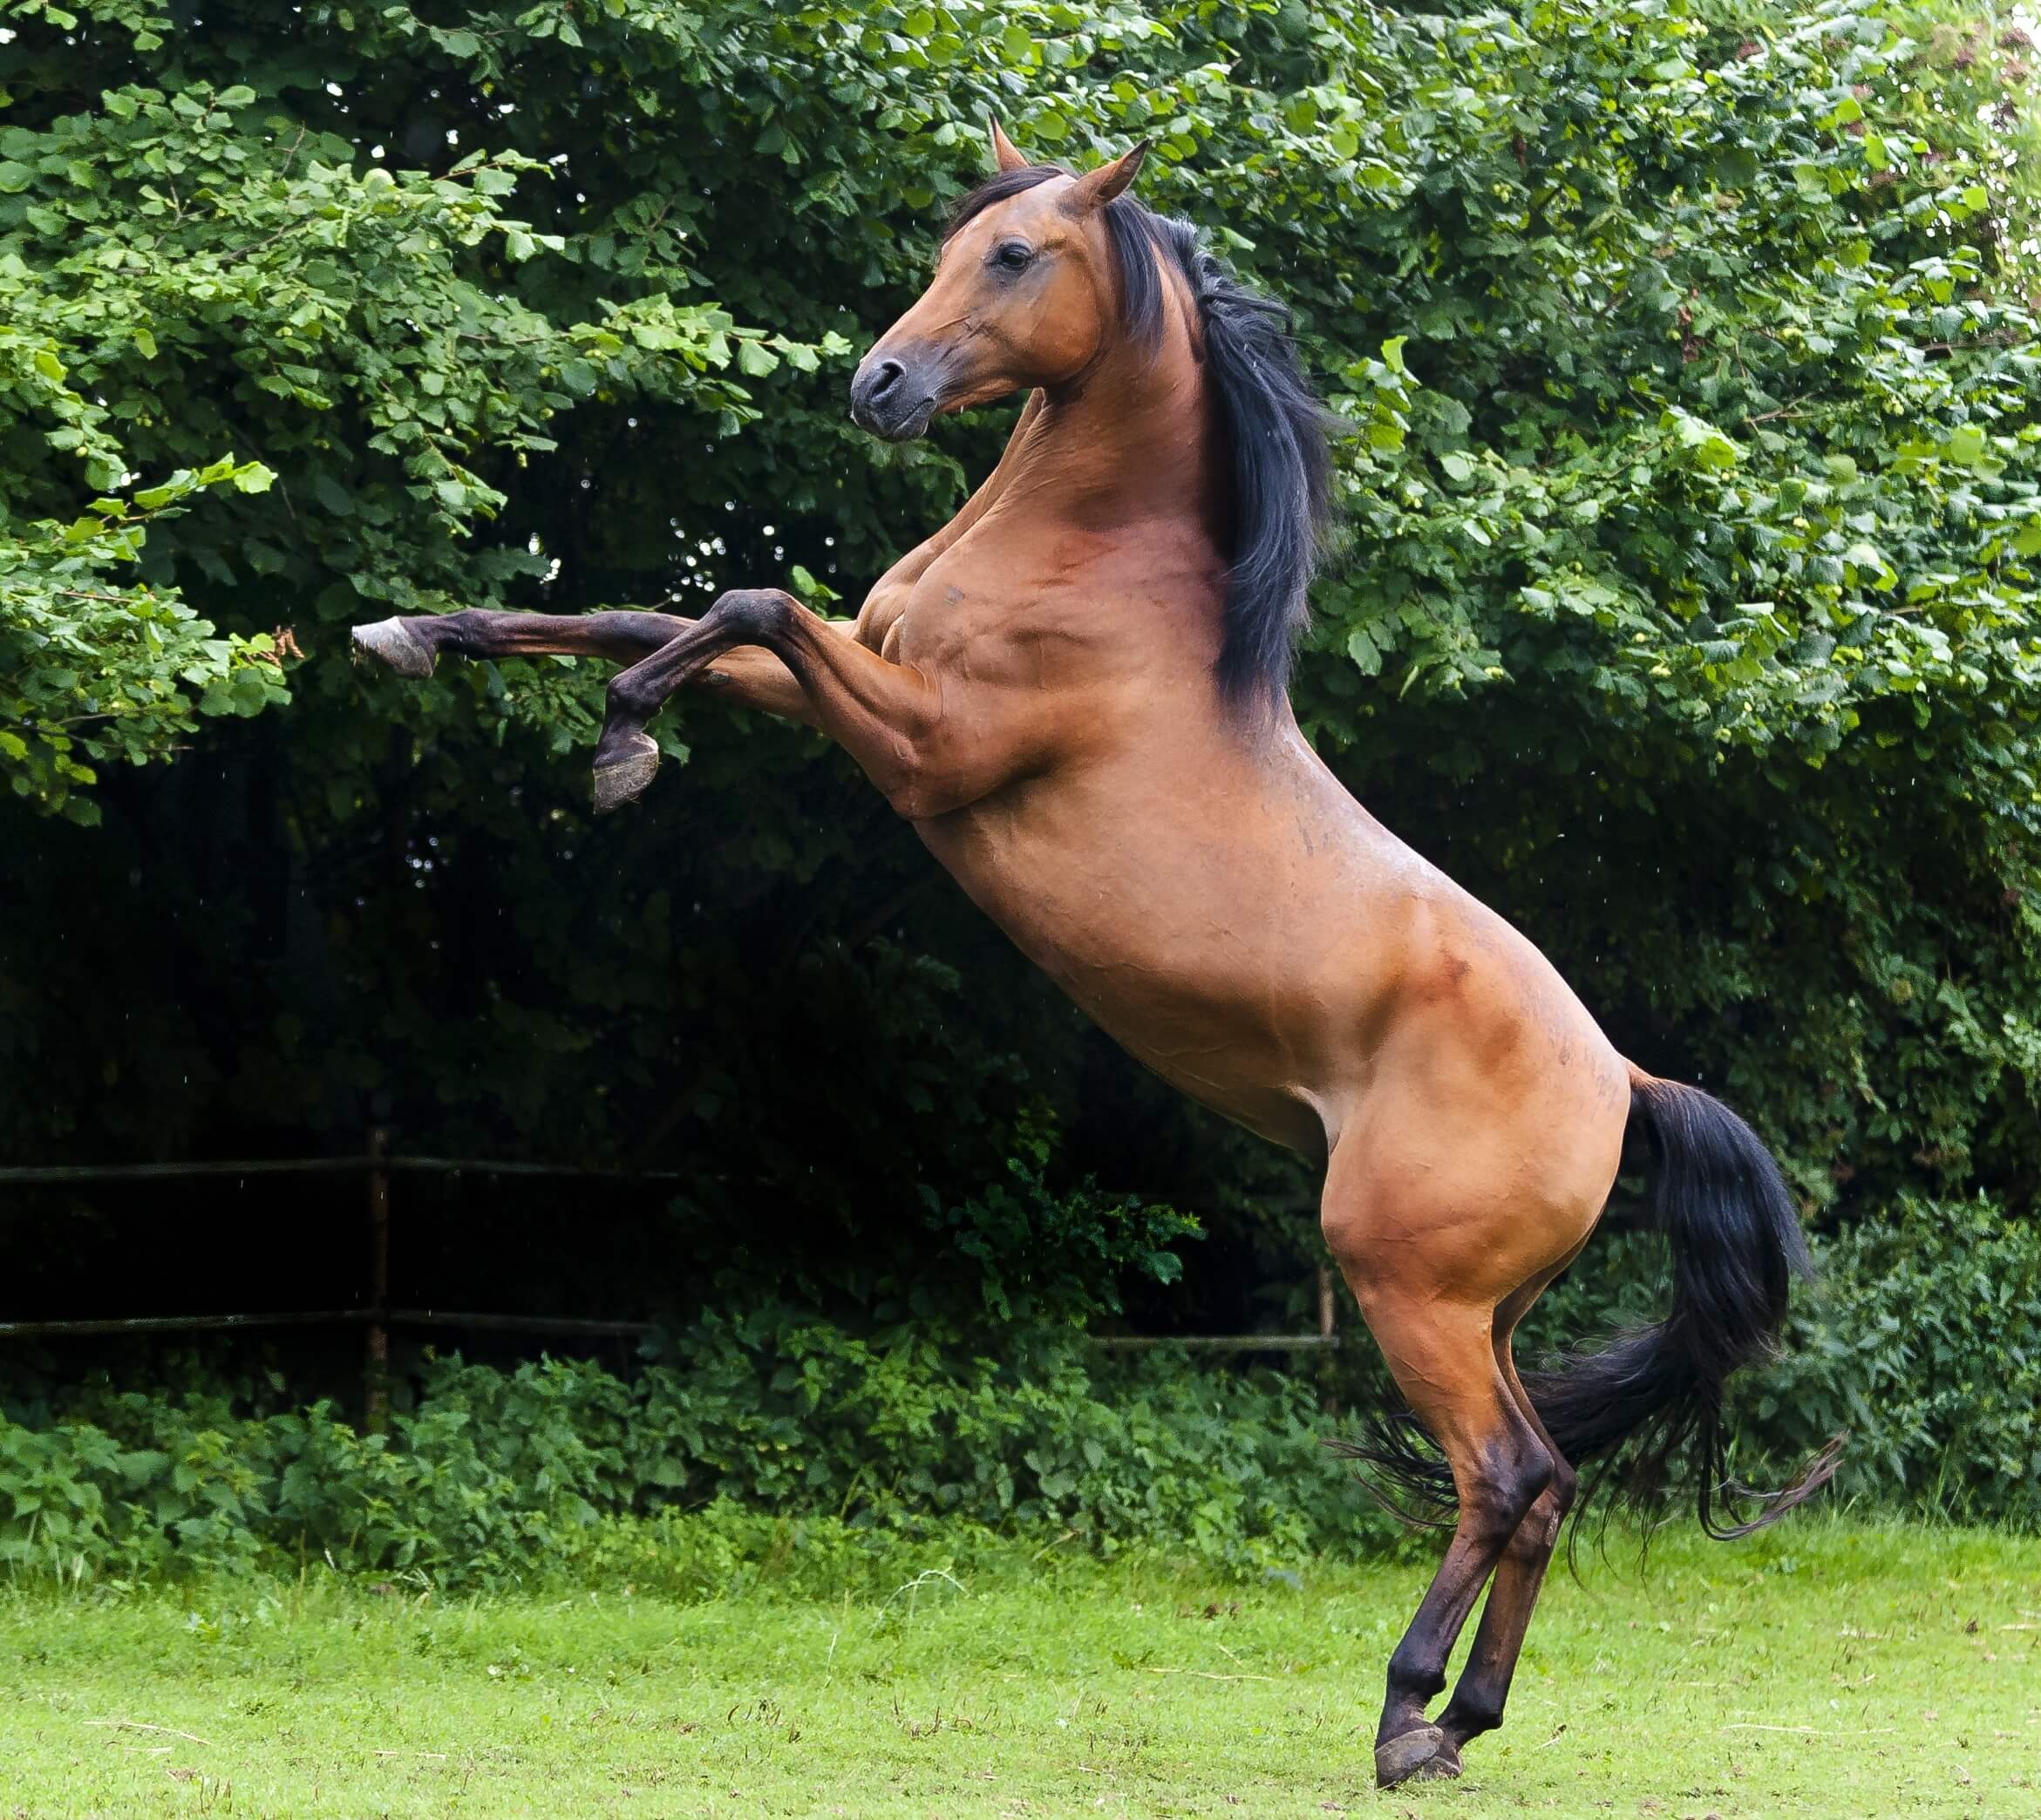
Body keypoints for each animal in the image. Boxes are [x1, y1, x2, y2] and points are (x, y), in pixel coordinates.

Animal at [351, 124, 1837, 1788]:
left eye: (1014, 257)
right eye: (952, 245)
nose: (878, 383)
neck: (1094, 571)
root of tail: (1626, 1081)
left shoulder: (923, 749)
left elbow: (744, 602)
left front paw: (622, 750)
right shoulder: (851, 685)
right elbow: (644, 613)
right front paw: (416, 632)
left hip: (1407, 1288)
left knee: (1506, 1475)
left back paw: (1403, 1716)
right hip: (1483, 1310)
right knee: (1544, 1485)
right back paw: (1463, 1721)